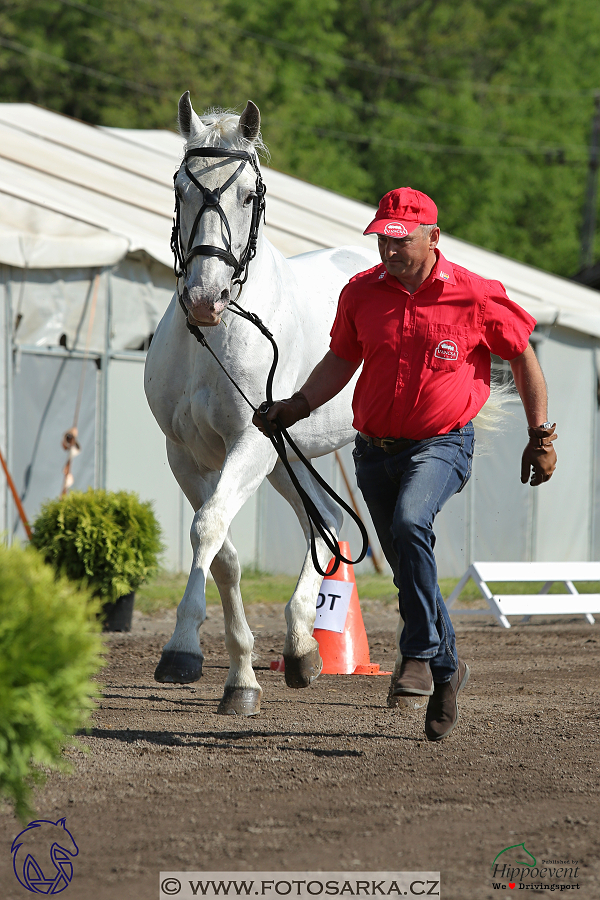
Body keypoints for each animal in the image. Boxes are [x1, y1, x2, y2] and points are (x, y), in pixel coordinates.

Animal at [144, 95, 380, 716]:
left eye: (249, 194)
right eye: (180, 185)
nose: (205, 298)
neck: (216, 338)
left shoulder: (249, 445)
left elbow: (207, 529)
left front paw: (181, 652)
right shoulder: (187, 456)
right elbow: (222, 550)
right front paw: (241, 676)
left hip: (292, 455)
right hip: (287, 456)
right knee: (326, 525)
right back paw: (301, 650)